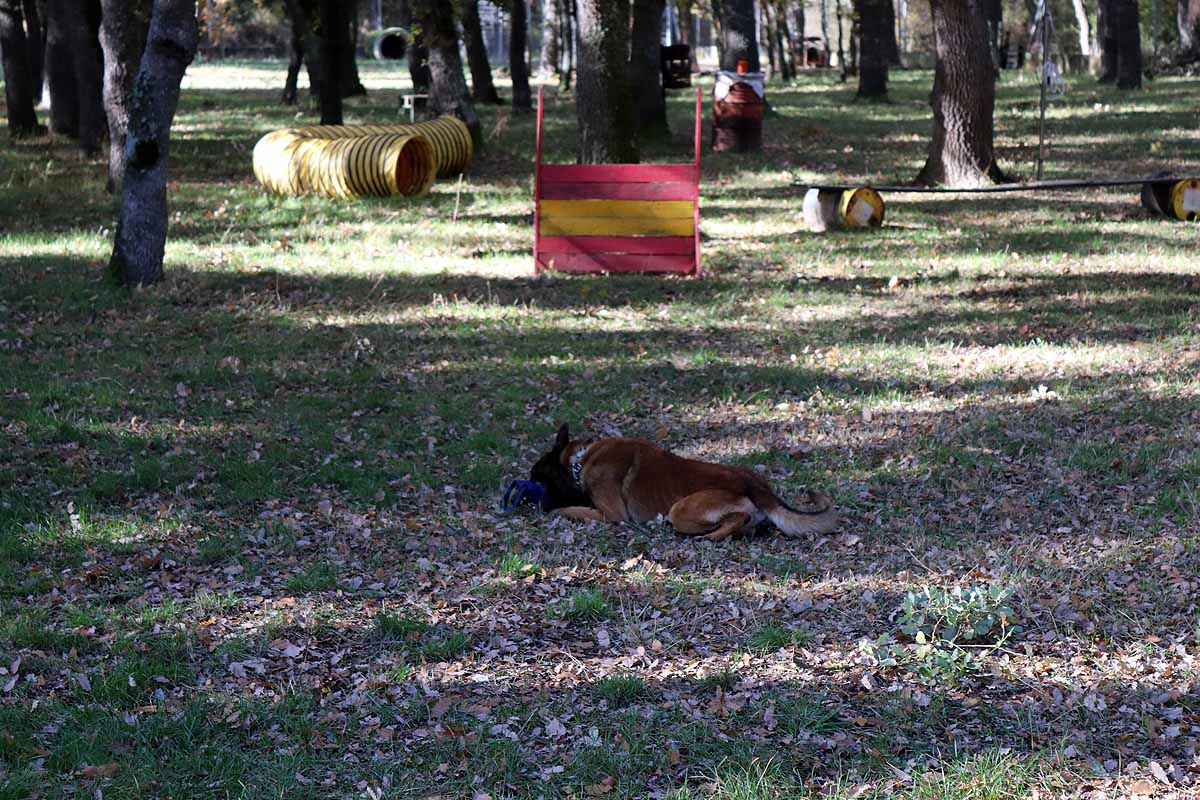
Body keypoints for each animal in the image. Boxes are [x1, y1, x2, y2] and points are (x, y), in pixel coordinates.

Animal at [530, 422, 840, 542]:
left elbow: (572, 510)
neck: (580, 460)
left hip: (680, 509)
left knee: (737, 517)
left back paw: (710, 536)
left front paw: (554, 510)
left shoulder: (611, 515)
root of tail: (756, 486)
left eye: (536, 477)